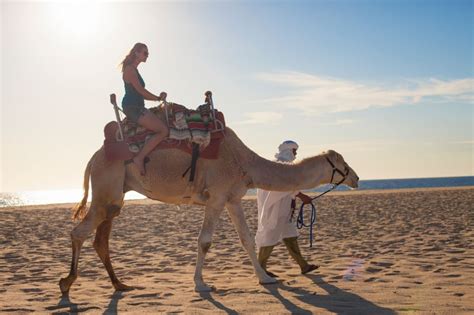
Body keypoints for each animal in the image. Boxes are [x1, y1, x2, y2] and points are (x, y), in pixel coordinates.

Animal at [58, 123, 360, 294]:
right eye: (342, 163)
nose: (356, 178)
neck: (244, 161)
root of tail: (93, 158)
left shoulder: (232, 199)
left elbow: (247, 239)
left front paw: (266, 278)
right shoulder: (216, 197)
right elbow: (204, 241)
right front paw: (201, 284)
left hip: (115, 195)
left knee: (101, 238)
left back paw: (119, 285)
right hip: (106, 188)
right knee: (79, 232)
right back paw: (67, 283)